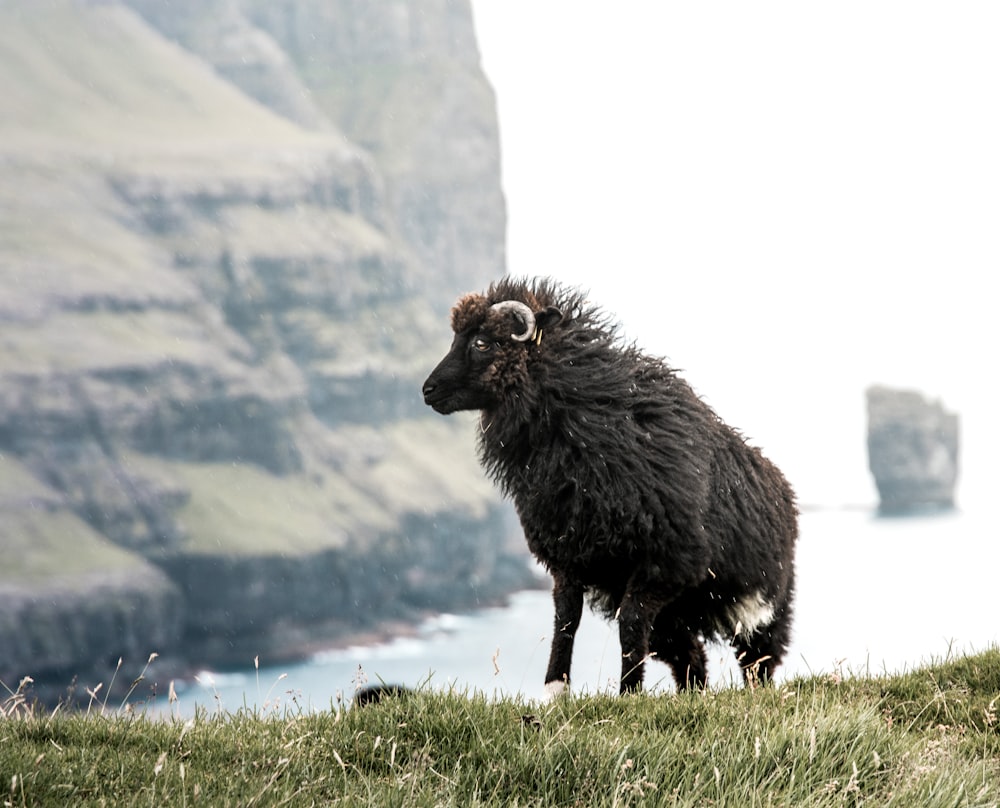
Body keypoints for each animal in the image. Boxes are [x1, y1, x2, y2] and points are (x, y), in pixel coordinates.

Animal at [422, 278, 796, 696]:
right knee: (691, 656)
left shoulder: (666, 562)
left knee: (757, 660)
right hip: (672, 613)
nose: (428, 390)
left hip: (760, 604)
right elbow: (566, 617)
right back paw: (691, 696)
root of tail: (785, 493)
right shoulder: (568, 553)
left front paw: (628, 694)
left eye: (483, 342)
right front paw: (556, 689)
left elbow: (630, 623)